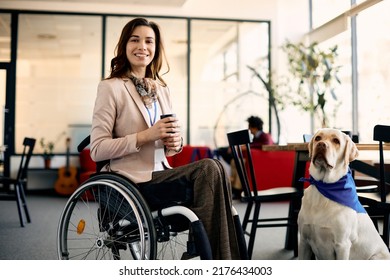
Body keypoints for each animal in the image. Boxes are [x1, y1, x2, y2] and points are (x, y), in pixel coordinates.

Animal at [298, 128, 390, 260]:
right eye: (318, 138)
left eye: (336, 141)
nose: (321, 145)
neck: (324, 187)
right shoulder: (304, 241)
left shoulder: (342, 245)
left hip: (375, 257)